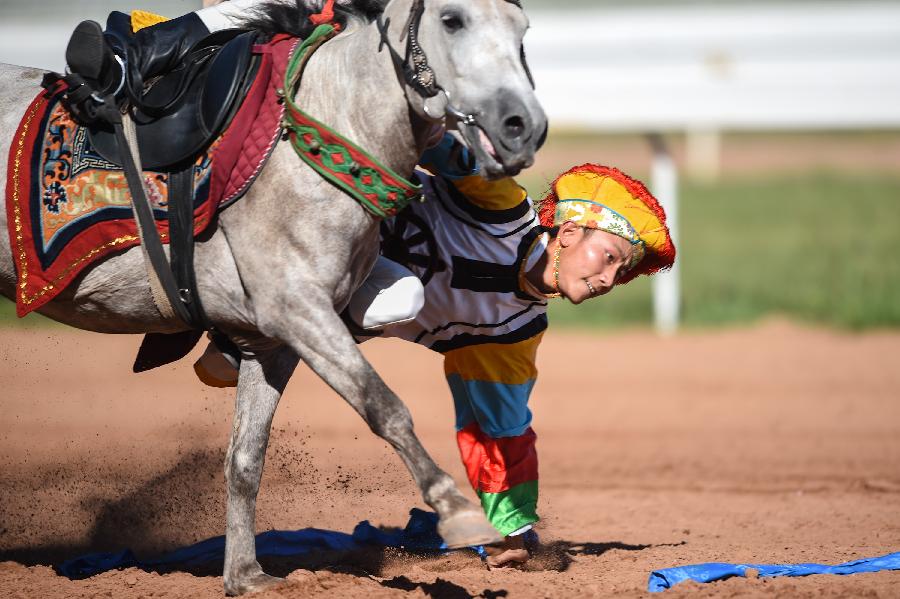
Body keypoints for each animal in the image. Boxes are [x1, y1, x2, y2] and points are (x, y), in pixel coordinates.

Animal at [0, 0, 548, 596]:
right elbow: (384, 406)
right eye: (452, 20)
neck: (323, 127)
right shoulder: (298, 309)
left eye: (524, 30)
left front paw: (245, 574)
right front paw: (457, 511)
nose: (523, 127)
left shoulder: (276, 342)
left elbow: (246, 455)